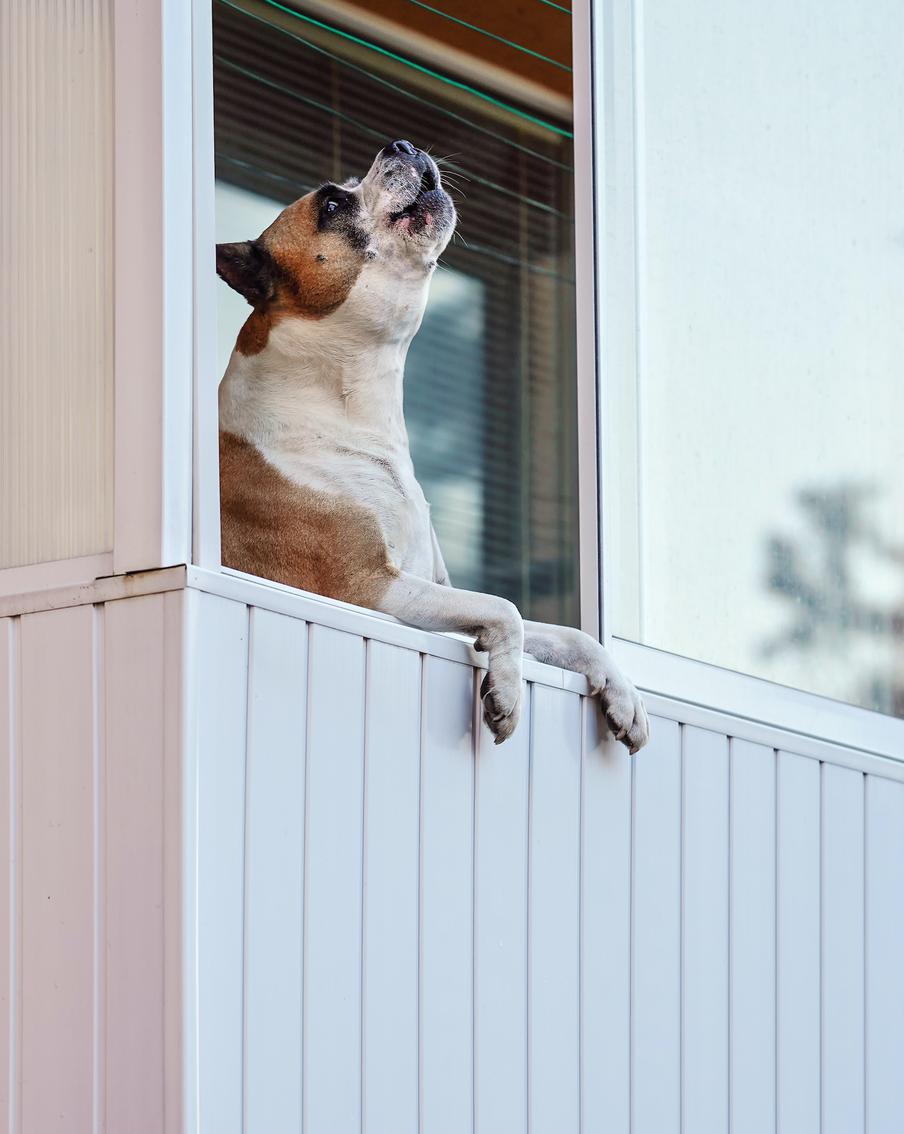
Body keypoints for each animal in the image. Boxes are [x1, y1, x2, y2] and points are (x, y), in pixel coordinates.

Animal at [215, 137, 644, 748]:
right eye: (330, 204)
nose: (402, 144)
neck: (349, 407)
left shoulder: (429, 589)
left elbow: (569, 634)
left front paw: (624, 695)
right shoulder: (369, 588)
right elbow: (505, 608)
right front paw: (507, 690)